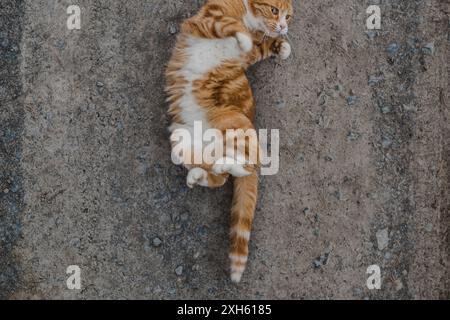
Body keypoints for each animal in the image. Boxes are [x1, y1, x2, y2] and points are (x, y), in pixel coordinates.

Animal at [167, 0, 294, 284]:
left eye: (289, 17)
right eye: (275, 11)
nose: (283, 26)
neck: (248, 15)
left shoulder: (246, 49)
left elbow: (255, 46)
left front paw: (280, 46)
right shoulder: (211, 18)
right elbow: (233, 28)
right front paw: (253, 39)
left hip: (234, 124)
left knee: (250, 162)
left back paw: (221, 166)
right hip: (179, 136)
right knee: (220, 173)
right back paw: (201, 174)